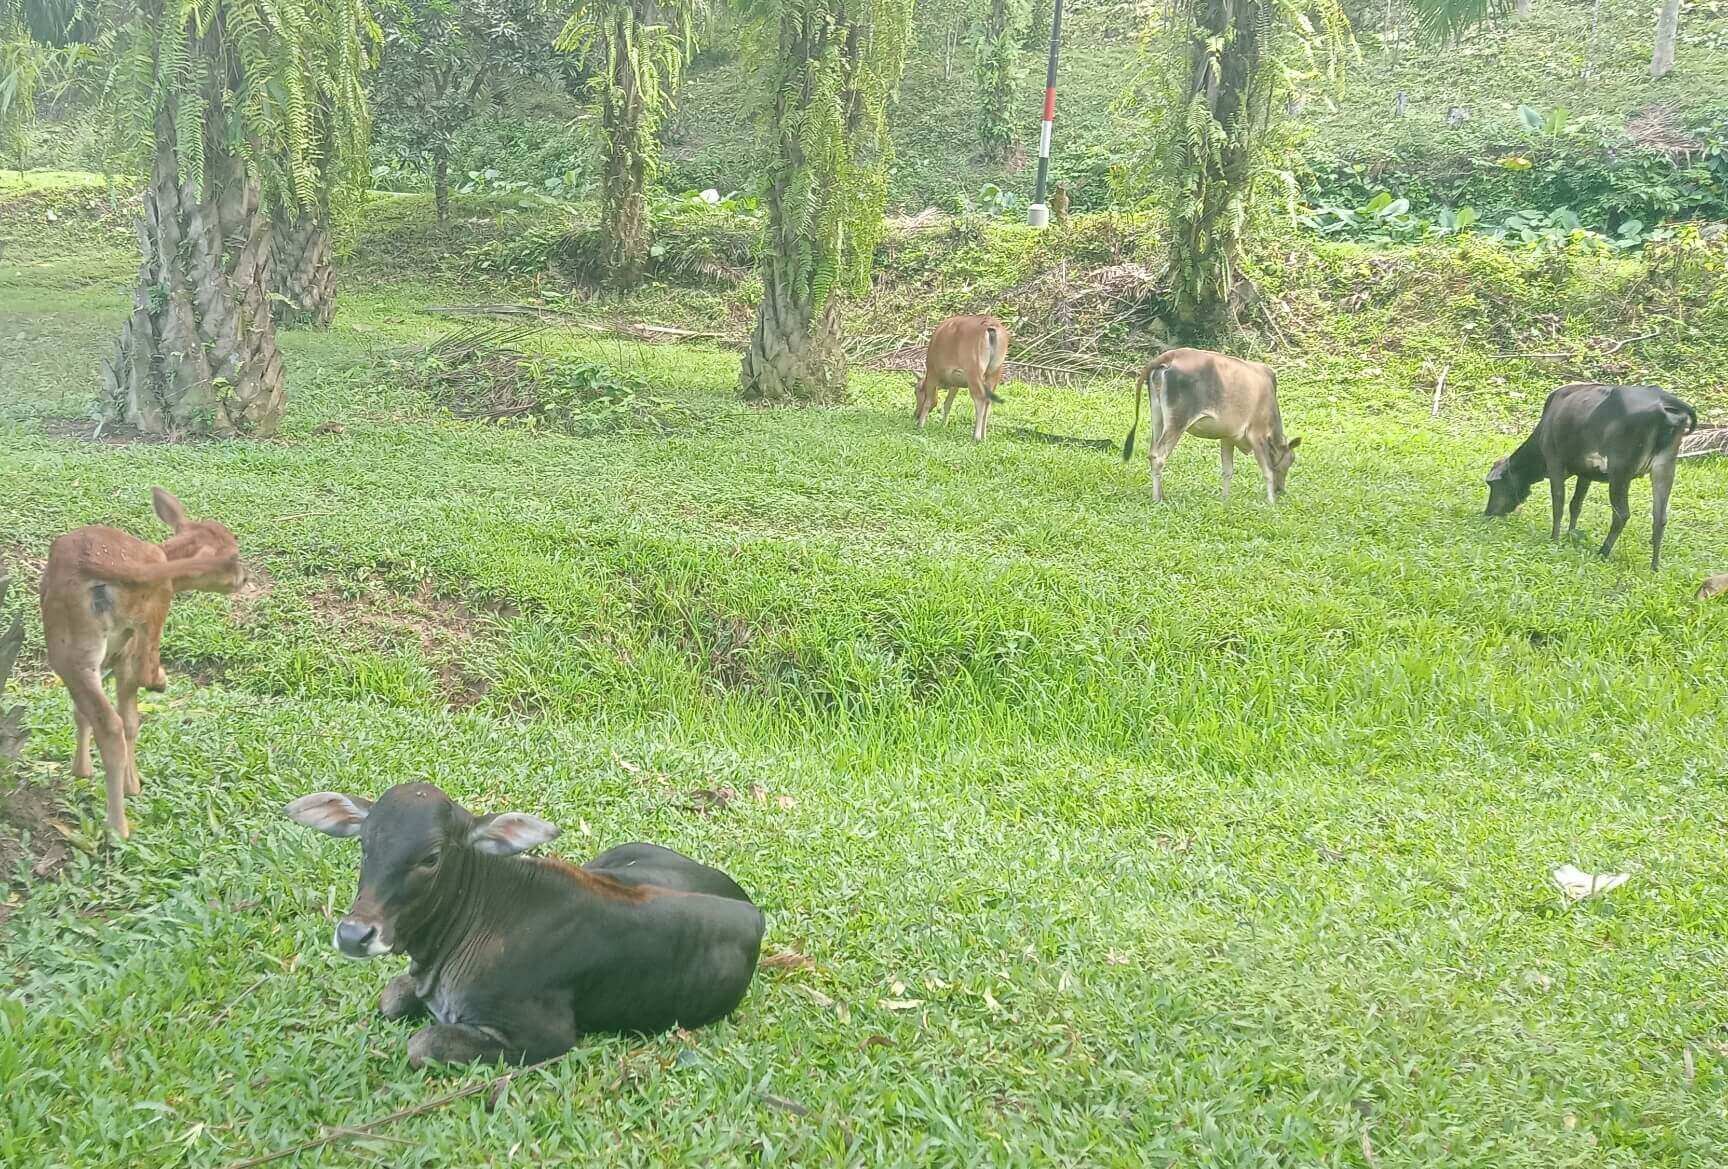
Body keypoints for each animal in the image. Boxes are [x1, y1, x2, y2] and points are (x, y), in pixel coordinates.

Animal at [39, 486, 243, 835]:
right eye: (233, 554)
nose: (244, 577)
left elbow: (83, 713)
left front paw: (82, 771)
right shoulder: (125, 651)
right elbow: (133, 719)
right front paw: (133, 785)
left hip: (69, 646)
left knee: (106, 722)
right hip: (151, 606)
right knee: (130, 697)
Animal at [288, 780, 763, 1063]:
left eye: (431, 858)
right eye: (364, 844)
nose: (354, 934)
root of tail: (752, 909)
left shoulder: (546, 1037)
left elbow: (422, 1043)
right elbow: (391, 998)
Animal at [912, 312, 1009, 440]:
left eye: (916, 391)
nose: (916, 415)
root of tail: (991, 325)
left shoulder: (933, 372)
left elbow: (928, 401)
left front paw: (921, 425)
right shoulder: (955, 382)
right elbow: (948, 403)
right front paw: (943, 425)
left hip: (974, 372)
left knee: (980, 400)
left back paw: (976, 436)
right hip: (994, 373)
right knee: (988, 401)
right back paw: (984, 436)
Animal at [1119, 347, 1299, 500]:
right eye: (1291, 460)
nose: (1280, 490)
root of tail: (1171, 355)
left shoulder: (1228, 437)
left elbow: (1227, 470)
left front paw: (1225, 499)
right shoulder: (1257, 434)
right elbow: (1267, 470)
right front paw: (1271, 502)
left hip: (1158, 418)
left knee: (1152, 452)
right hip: (1177, 422)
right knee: (1159, 455)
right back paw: (1158, 498)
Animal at [1486, 383, 1700, 569]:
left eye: (1494, 485)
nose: (1487, 513)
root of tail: (1664, 400)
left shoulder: (1555, 462)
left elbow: (1558, 503)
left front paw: (1554, 539)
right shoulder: (1586, 474)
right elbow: (1575, 505)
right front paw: (1570, 534)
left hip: (1620, 472)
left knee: (1621, 514)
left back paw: (1603, 552)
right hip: (1664, 468)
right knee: (1659, 518)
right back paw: (1654, 566)